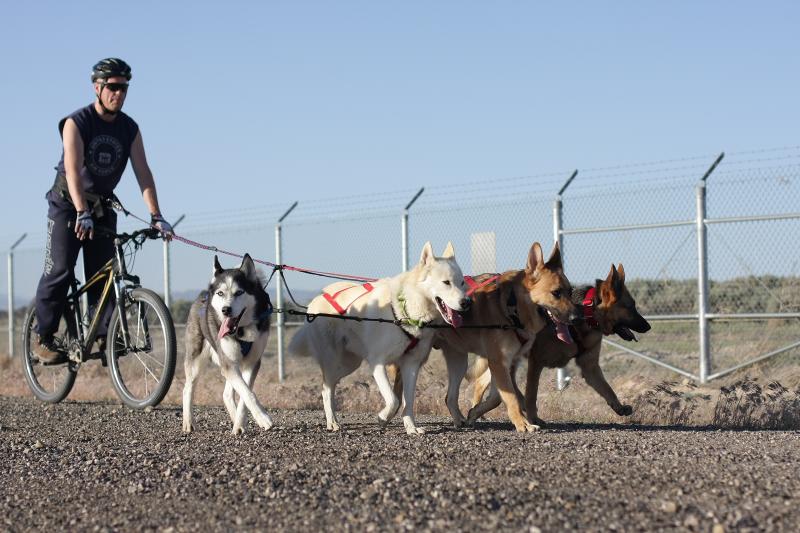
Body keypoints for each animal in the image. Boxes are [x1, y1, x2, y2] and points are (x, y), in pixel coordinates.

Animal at [290, 243, 472, 434]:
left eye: (462, 283)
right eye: (446, 282)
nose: (466, 302)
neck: (405, 310)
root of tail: (314, 301)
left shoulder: (411, 365)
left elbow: (408, 402)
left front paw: (411, 428)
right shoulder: (377, 363)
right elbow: (394, 400)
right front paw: (383, 418)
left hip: (349, 364)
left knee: (329, 386)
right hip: (333, 361)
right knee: (326, 389)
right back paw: (332, 422)